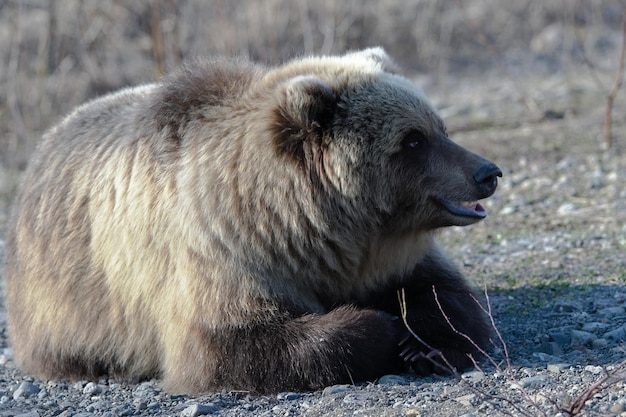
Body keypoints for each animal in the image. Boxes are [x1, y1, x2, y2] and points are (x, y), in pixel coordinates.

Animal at [2, 48, 500, 394]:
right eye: (412, 140)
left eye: (439, 128)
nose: (487, 173)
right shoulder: (220, 251)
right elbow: (229, 344)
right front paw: (382, 327)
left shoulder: (381, 254)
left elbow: (447, 293)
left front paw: (425, 340)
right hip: (62, 296)